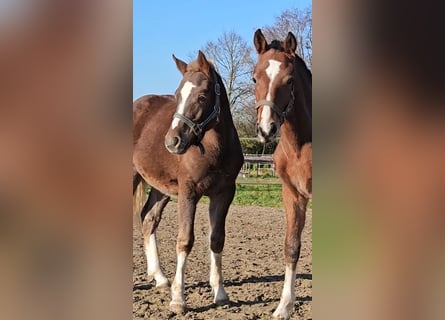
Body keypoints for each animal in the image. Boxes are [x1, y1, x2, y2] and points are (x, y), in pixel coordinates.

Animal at [133, 50, 243, 312]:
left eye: (202, 96)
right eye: (176, 95)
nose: (172, 141)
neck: (215, 150)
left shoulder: (224, 193)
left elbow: (216, 239)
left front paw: (220, 293)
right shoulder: (188, 192)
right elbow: (185, 240)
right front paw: (178, 299)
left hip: (161, 188)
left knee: (148, 219)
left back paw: (160, 277)